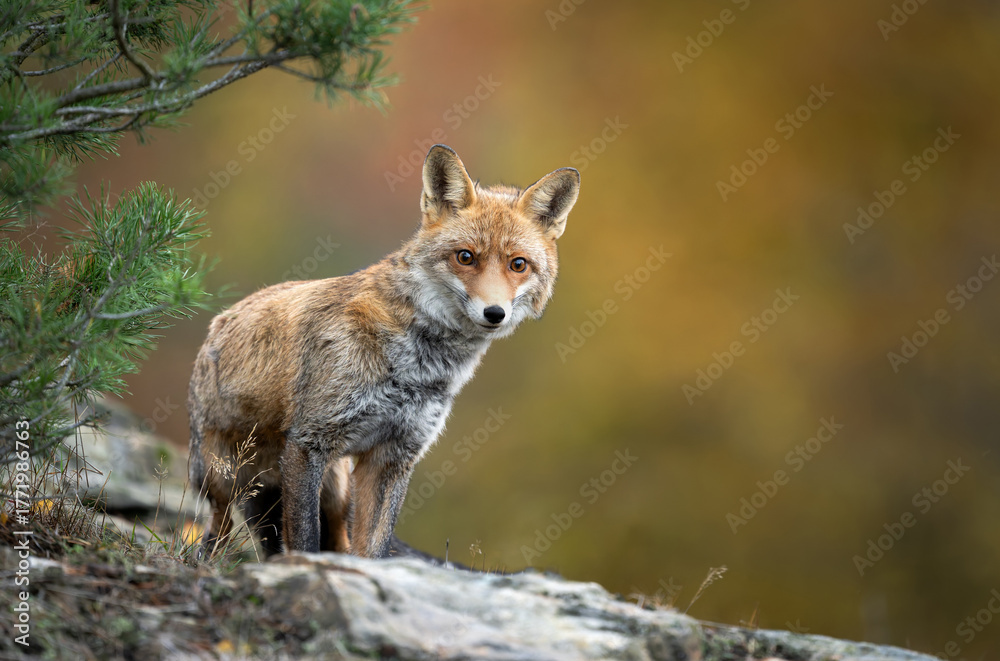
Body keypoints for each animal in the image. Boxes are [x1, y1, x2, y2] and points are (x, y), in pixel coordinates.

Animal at [188, 145, 580, 558]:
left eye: (518, 264)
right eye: (465, 257)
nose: (494, 313)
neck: (418, 368)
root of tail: (218, 321)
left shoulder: (392, 455)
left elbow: (372, 549)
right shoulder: (309, 442)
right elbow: (306, 540)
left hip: (334, 491)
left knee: (330, 540)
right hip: (224, 480)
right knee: (216, 534)